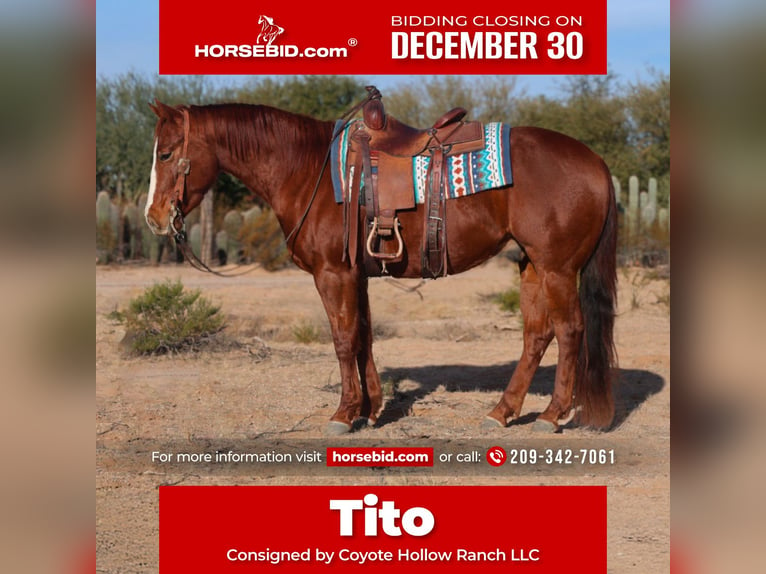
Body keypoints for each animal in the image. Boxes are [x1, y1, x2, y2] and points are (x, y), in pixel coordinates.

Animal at [147, 100, 620, 436]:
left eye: (167, 154)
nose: (154, 218)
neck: (307, 169)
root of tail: (596, 161)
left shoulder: (333, 274)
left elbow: (343, 340)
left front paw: (343, 413)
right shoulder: (357, 276)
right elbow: (364, 338)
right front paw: (371, 409)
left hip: (557, 269)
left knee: (569, 331)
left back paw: (551, 415)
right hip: (532, 265)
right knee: (536, 335)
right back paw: (502, 411)